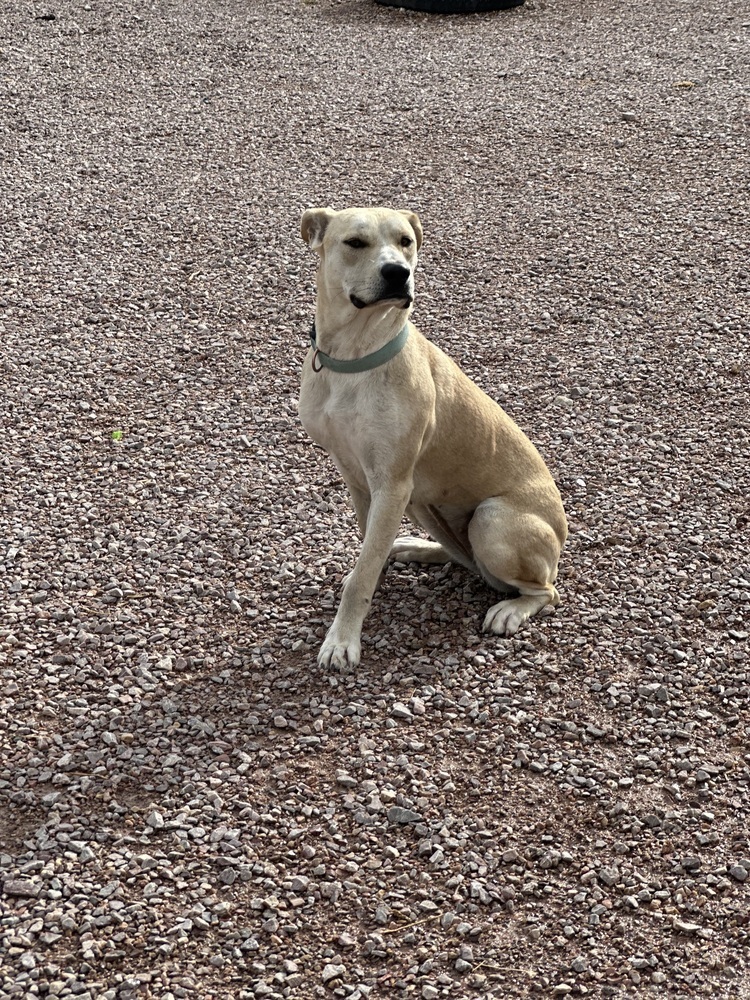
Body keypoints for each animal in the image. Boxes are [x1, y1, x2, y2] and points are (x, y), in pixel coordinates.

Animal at [296, 206, 568, 668]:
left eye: (405, 241)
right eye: (355, 243)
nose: (398, 272)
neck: (355, 358)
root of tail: (563, 536)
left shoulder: (391, 484)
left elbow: (363, 573)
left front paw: (342, 639)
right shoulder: (359, 480)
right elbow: (368, 550)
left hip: (491, 520)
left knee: (543, 590)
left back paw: (511, 610)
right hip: (425, 505)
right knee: (463, 557)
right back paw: (414, 546)